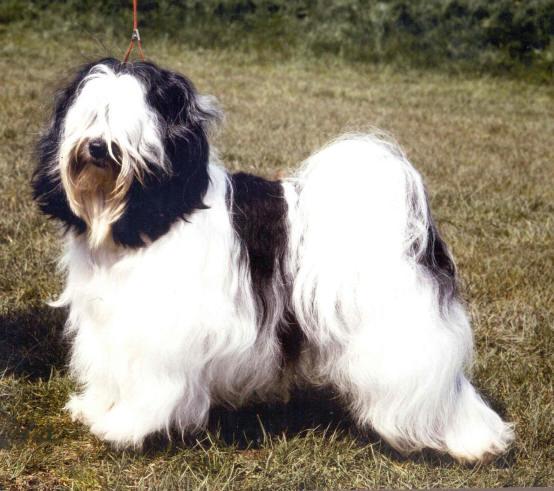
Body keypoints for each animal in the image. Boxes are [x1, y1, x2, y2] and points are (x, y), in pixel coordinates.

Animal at [32, 59, 512, 464]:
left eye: (129, 122)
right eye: (91, 115)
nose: (97, 148)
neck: (153, 214)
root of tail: (413, 229)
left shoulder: (157, 332)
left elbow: (148, 384)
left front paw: (124, 427)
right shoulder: (107, 323)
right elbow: (109, 370)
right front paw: (96, 409)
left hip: (401, 330)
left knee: (438, 388)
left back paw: (474, 443)